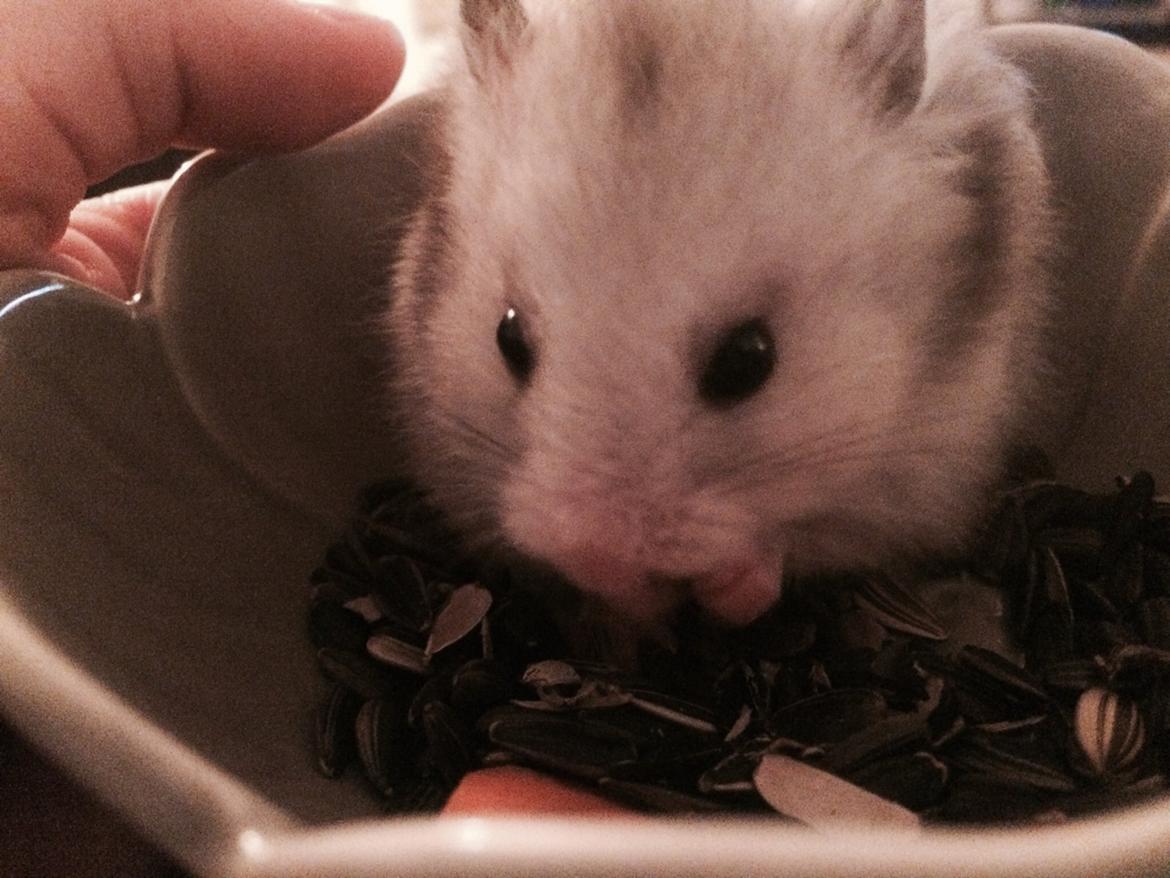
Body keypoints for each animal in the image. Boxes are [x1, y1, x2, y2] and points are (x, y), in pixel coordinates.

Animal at [386, 0, 1051, 627]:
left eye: (749, 360)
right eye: (509, 338)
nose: (595, 553)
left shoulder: (917, 473)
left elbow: (782, 552)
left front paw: (725, 585)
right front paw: (635, 600)